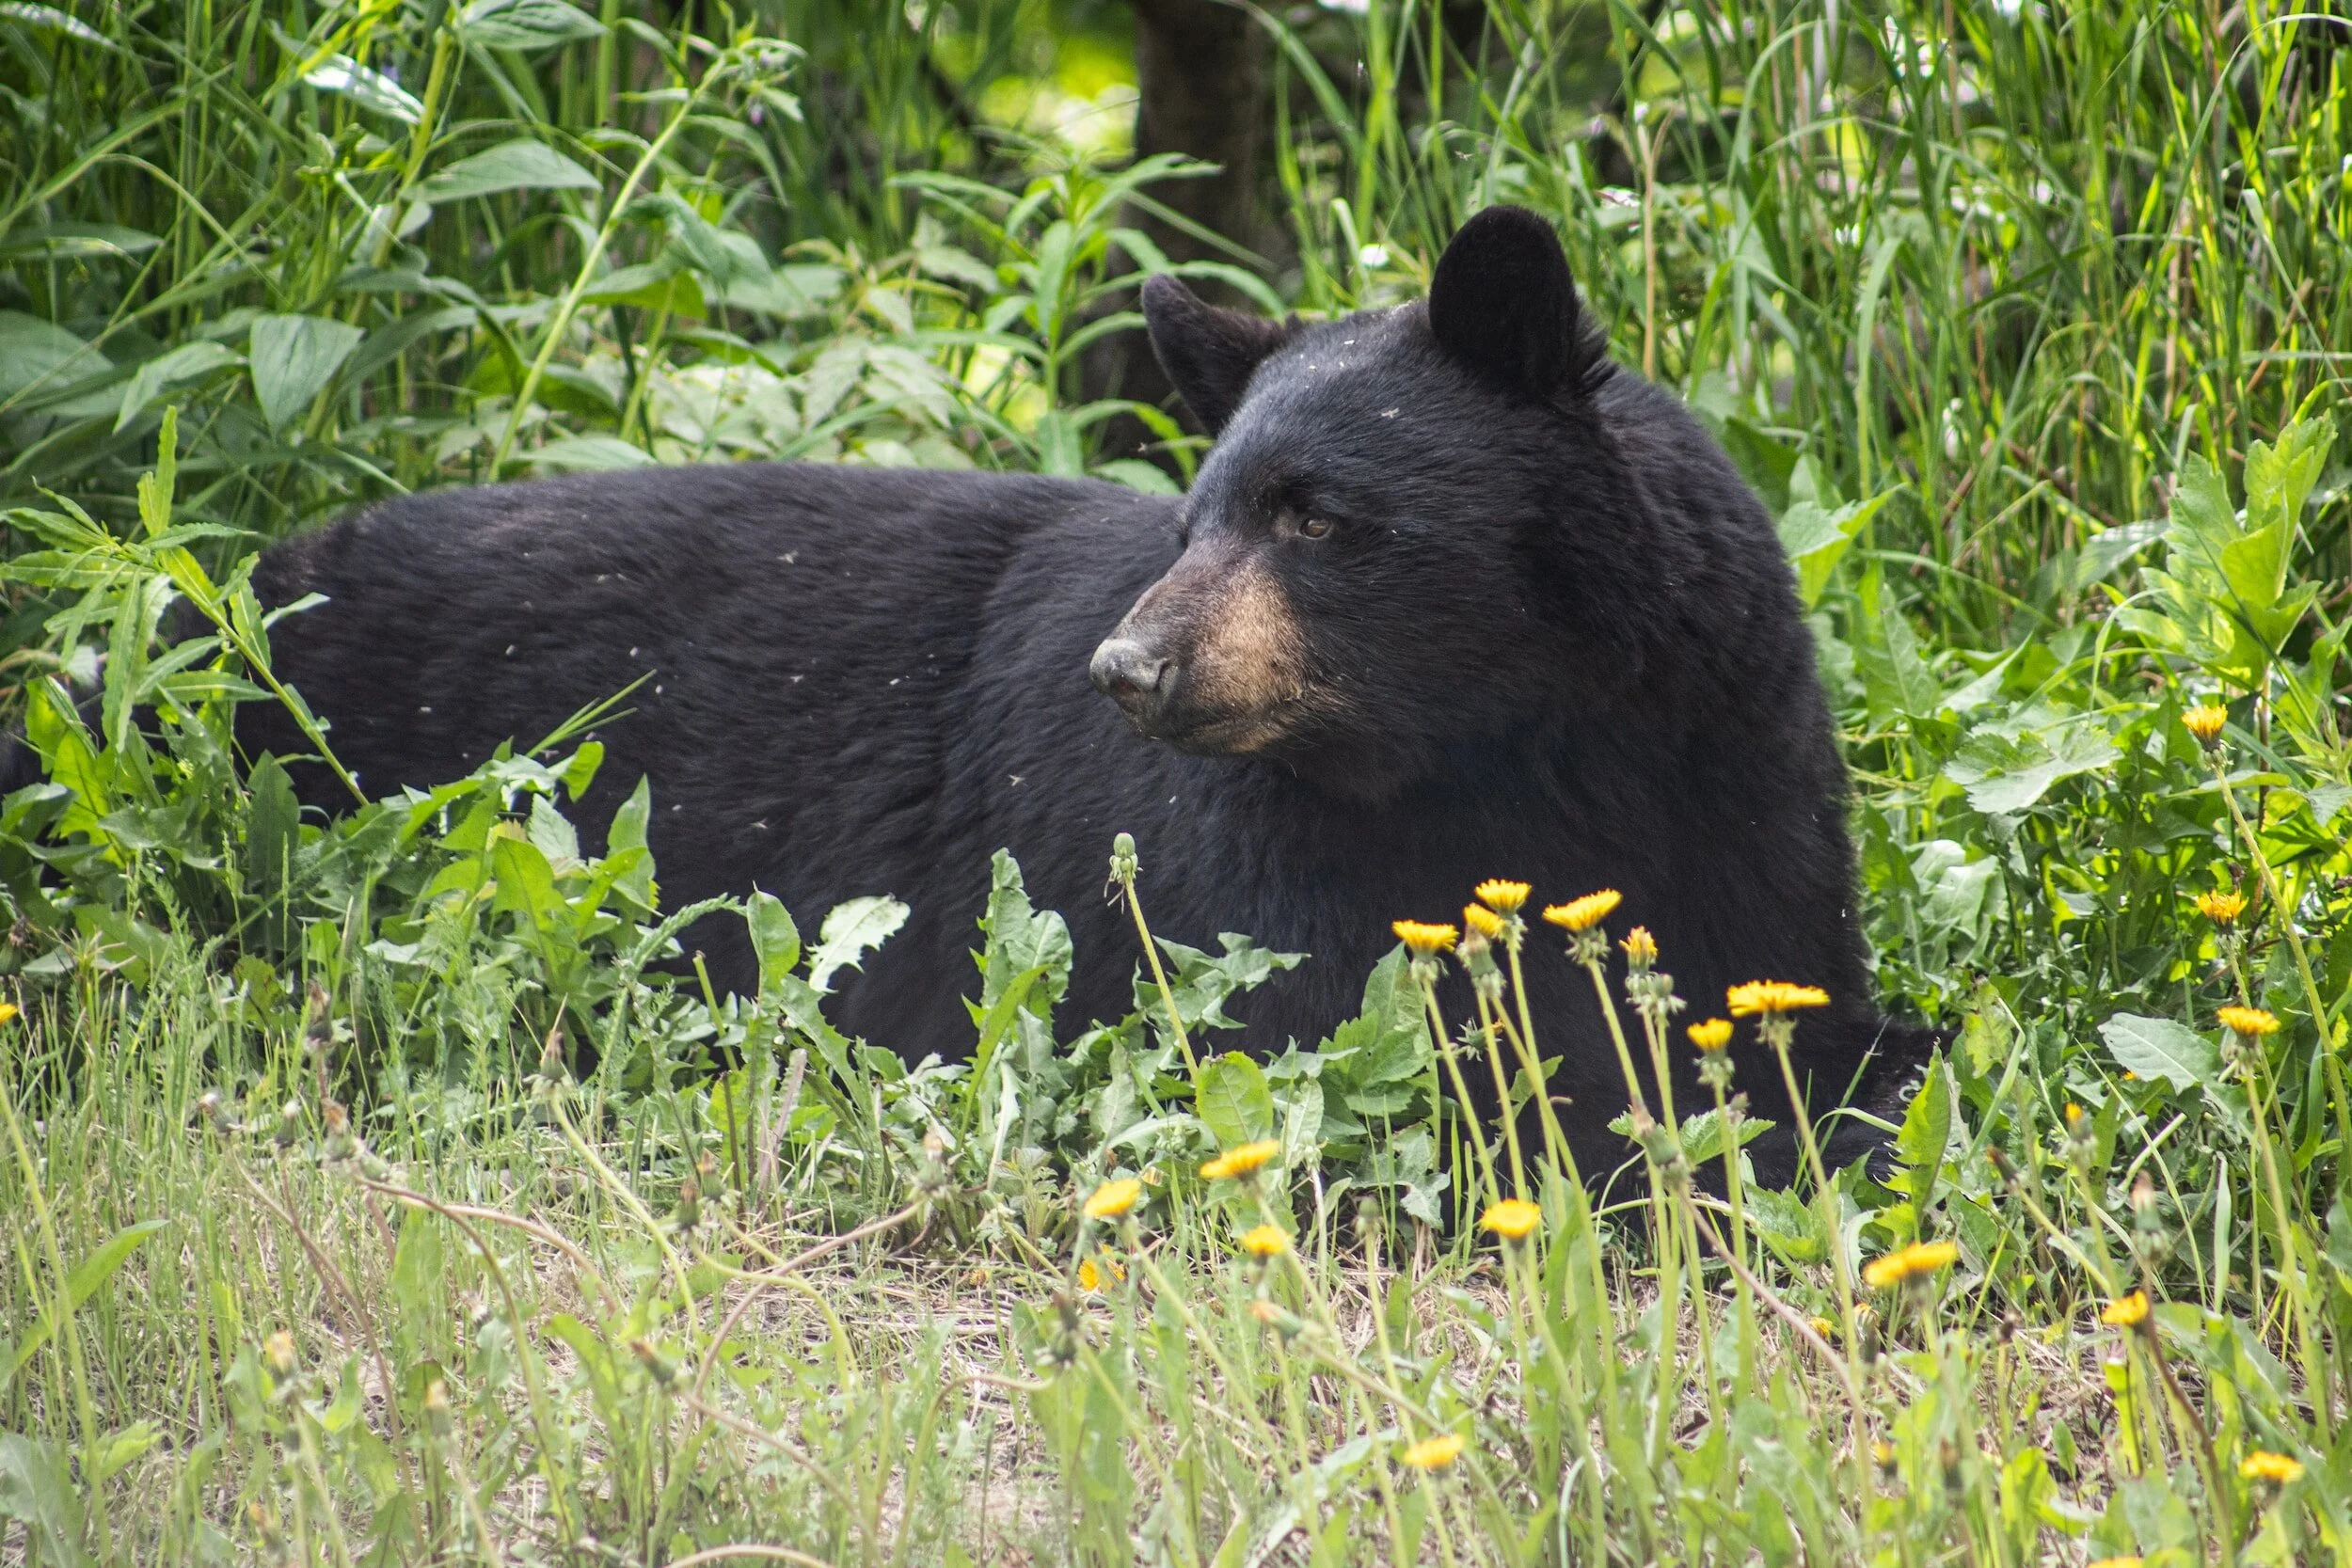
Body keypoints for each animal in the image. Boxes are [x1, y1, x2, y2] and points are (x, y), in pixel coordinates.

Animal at [232, 205, 1923, 1182]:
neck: (1517, 753)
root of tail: (265, 571)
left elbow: (1791, 993)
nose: (1129, 666)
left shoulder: (1734, 769)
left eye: (1316, 514)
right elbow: (1398, 1057)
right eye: (1197, 518)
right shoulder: (1241, 886)